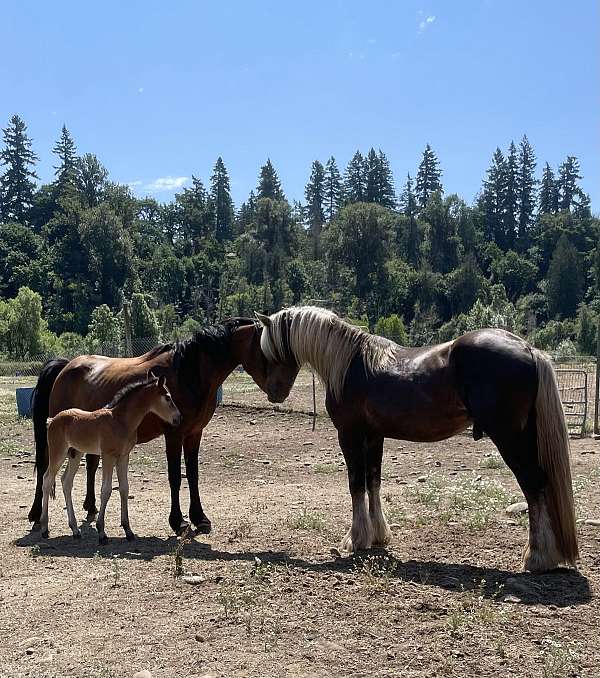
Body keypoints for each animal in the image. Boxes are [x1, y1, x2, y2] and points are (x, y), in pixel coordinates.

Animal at [28, 318, 298, 536]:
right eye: (268, 348)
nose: (281, 391)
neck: (189, 372)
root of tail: (64, 367)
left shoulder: (194, 434)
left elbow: (193, 475)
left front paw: (200, 517)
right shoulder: (174, 434)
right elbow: (175, 477)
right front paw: (177, 521)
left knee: (90, 466)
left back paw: (90, 507)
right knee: (46, 470)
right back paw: (36, 516)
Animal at [255, 306, 580, 572]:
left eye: (271, 351)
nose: (274, 394)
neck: (350, 364)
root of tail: (528, 348)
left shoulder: (350, 435)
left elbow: (355, 485)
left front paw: (356, 538)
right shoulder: (373, 437)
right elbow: (373, 482)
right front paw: (378, 535)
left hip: (509, 438)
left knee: (534, 486)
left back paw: (537, 557)